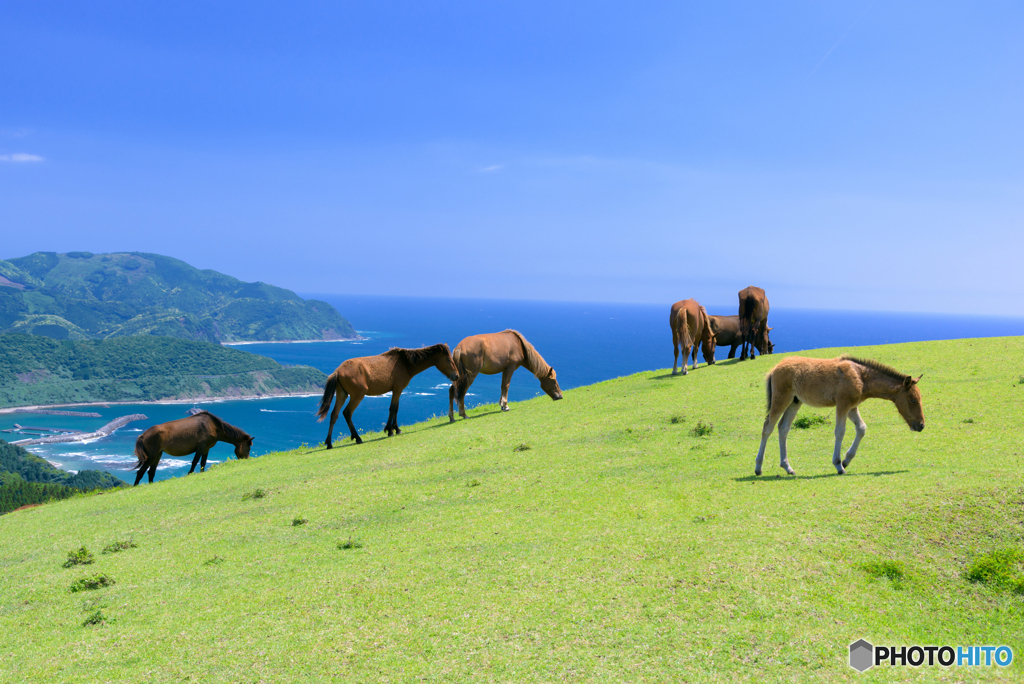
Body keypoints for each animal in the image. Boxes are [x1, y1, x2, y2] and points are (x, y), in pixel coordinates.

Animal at [317, 342, 458, 448]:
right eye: (448, 359)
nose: (456, 375)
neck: (405, 363)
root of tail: (338, 371)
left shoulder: (397, 390)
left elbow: (396, 409)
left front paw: (396, 429)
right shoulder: (397, 389)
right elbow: (393, 408)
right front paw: (390, 430)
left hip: (342, 395)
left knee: (334, 415)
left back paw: (329, 443)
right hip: (357, 396)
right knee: (347, 413)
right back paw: (357, 438)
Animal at [753, 356, 929, 479]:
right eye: (913, 400)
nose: (921, 425)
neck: (861, 377)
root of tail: (775, 369)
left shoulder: (852, 407)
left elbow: (862, 428)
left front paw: (846, 460)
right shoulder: (842, 405)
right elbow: (840, 431)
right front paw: (838, 465)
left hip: (795, 402)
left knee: (783, 428)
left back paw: (788, 467)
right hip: (781, 399)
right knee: (767, 427)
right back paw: (758, 467)